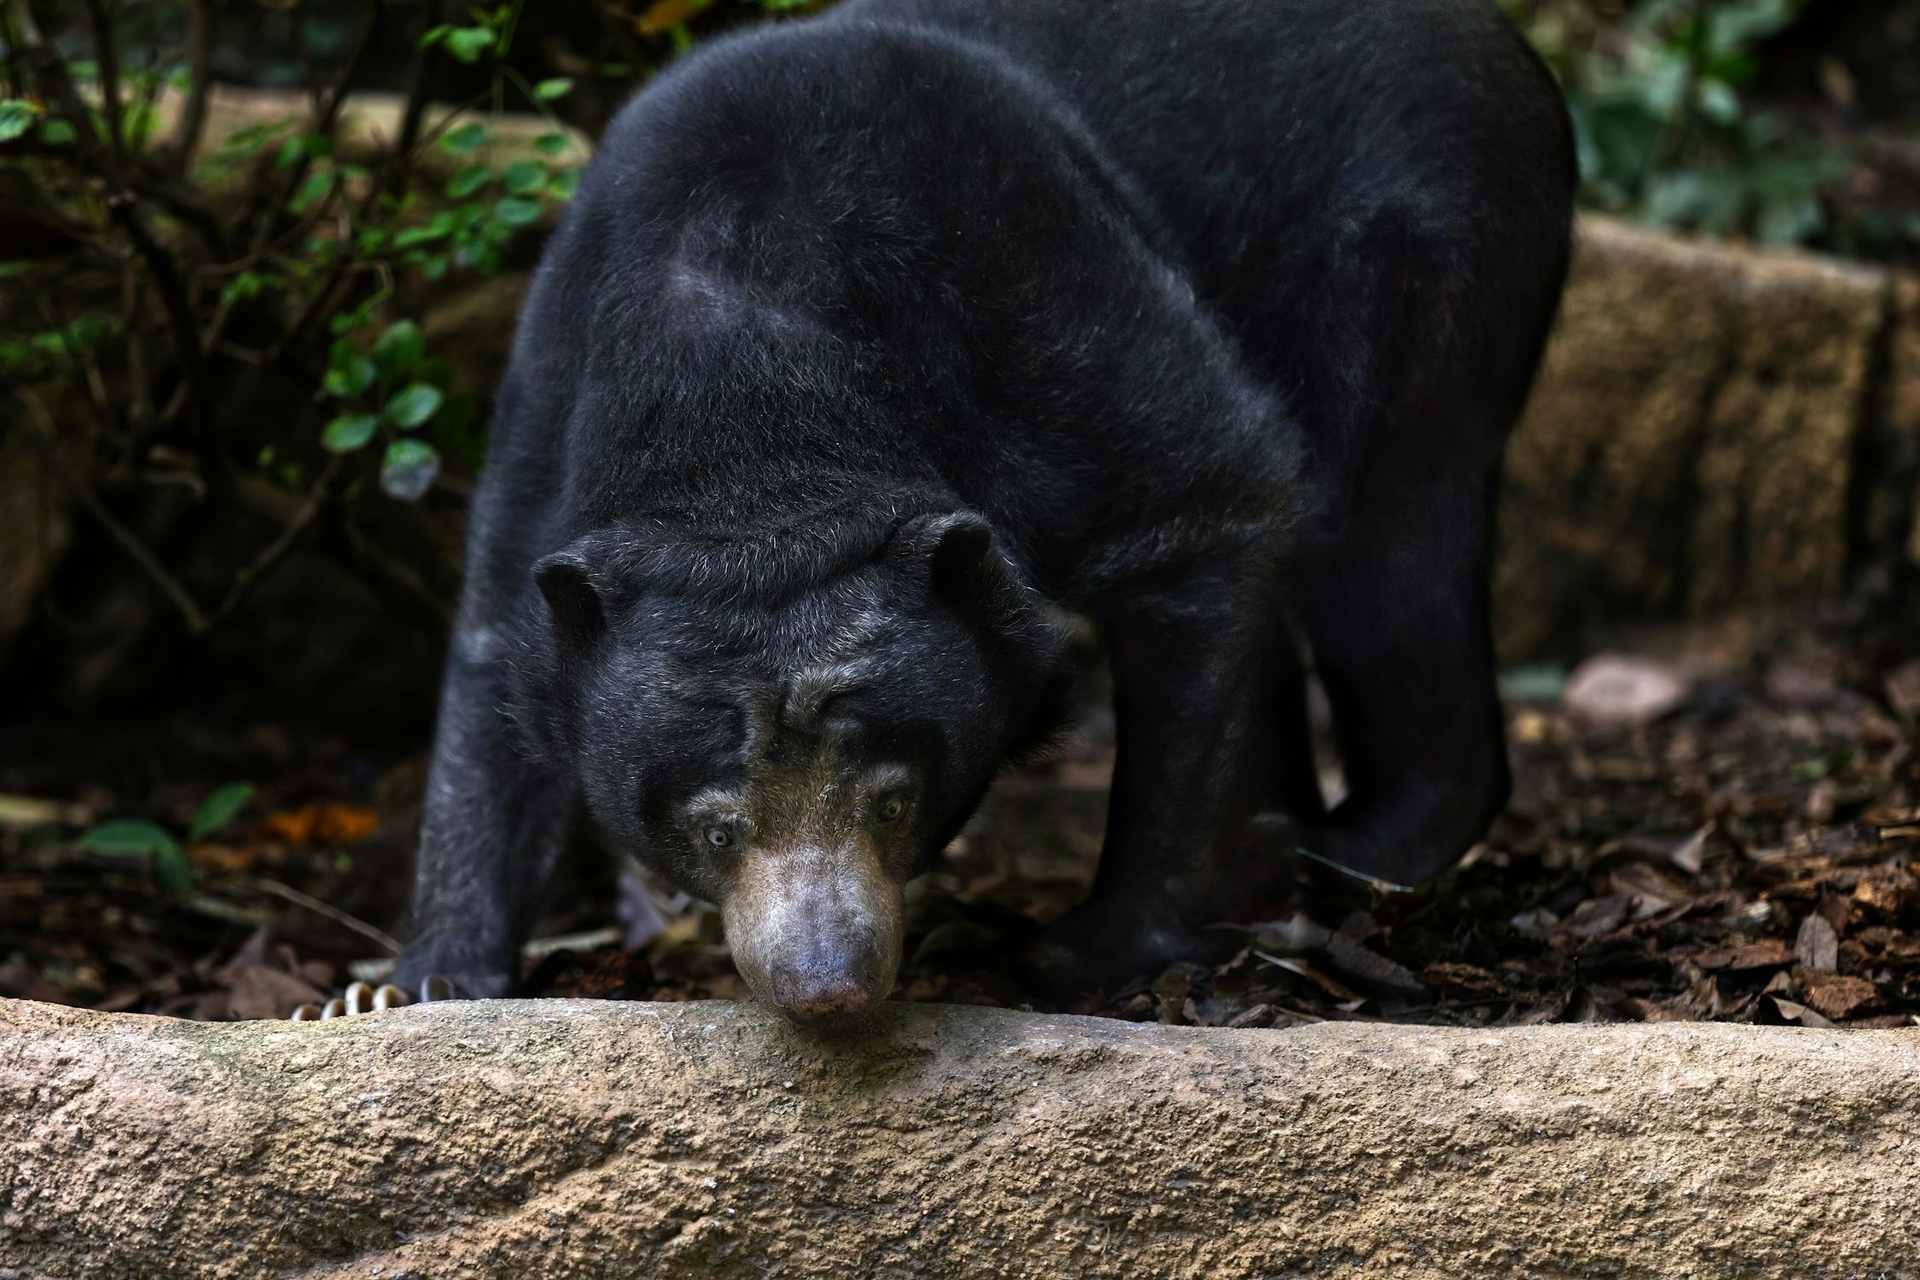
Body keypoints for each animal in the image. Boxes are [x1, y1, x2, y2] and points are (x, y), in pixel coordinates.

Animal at [330, 0, 1566, 1020]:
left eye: (890, 800)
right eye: (716, 826)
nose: (827, 984)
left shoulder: (1030, 278)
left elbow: (1208, 496)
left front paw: (1084, 950)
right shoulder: (554, 389)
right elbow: (498, 649)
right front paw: (407, 987)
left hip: (1431, 252)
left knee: (1389, 541)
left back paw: (1362, 845)